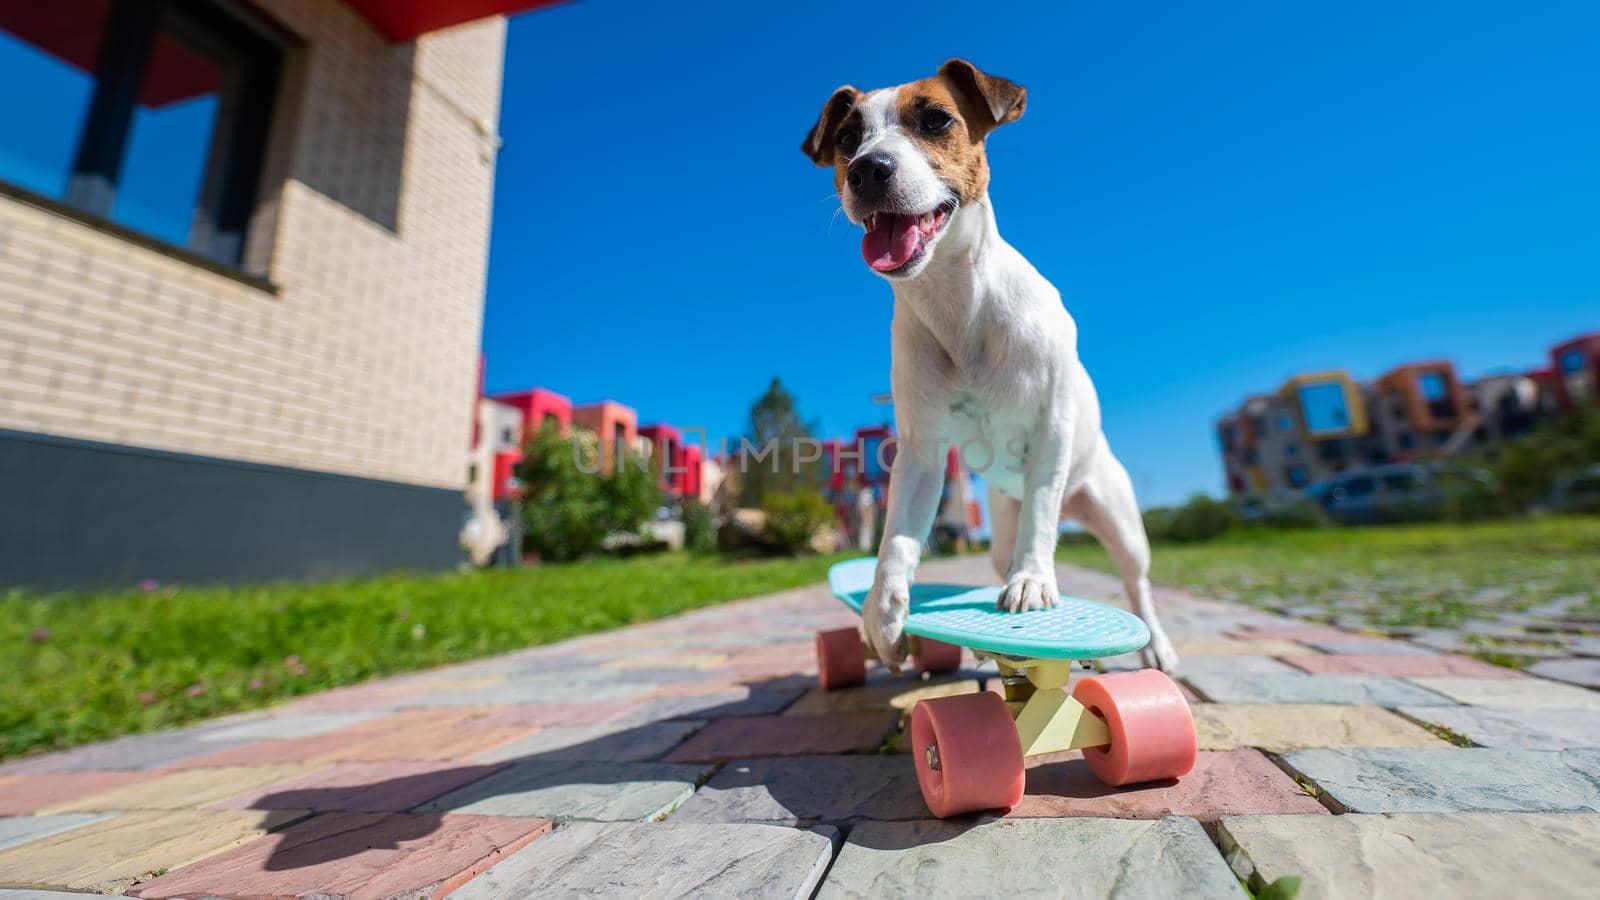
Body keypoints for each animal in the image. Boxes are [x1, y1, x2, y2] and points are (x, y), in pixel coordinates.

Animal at [806, 57, 1184, 672]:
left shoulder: (1052, 426)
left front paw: (1032, 581)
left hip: (1119, 520)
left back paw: (1158, 646)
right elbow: (897, 542)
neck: (957, 303)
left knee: (1136, 581)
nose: (867, 169)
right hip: (1003, 521)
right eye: (846, 138)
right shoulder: (920, 453)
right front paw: (883, 615)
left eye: (936, 119)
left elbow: (1041, 515)